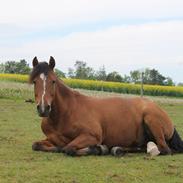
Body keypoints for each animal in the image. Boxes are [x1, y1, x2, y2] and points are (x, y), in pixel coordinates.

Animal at [29, 56, 183, 156]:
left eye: (53, 81)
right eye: (35, 81)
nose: (43, 108)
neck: (66, 113)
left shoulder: (91, 136)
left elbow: (69, 148)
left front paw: (97, 149)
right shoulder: (52, 139)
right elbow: (36, 145)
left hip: (151, 120)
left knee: (164, 149)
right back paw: (117, 149)